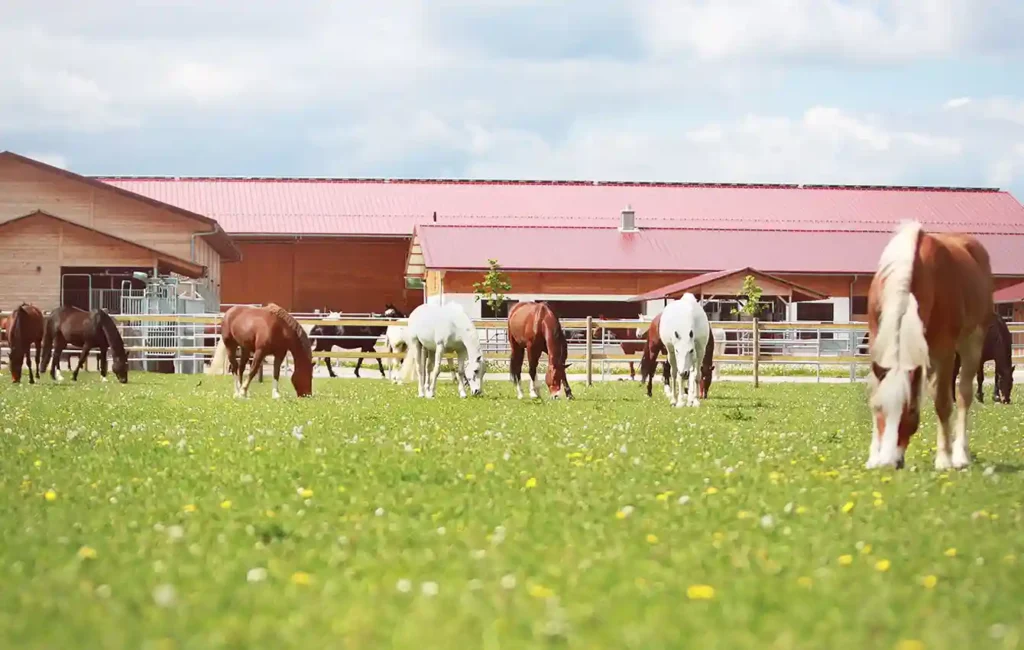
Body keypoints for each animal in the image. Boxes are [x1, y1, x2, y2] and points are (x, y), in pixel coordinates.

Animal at [865, 221, 992, 471]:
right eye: (881, 409)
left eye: (911, 411)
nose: (889, 463)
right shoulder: (877, 343)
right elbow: (876, 391)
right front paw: (873, 456)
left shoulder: (943, 351)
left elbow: (942, 402)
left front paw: (943, 459)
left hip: (973, 341)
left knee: (963, 395)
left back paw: (960, 455)